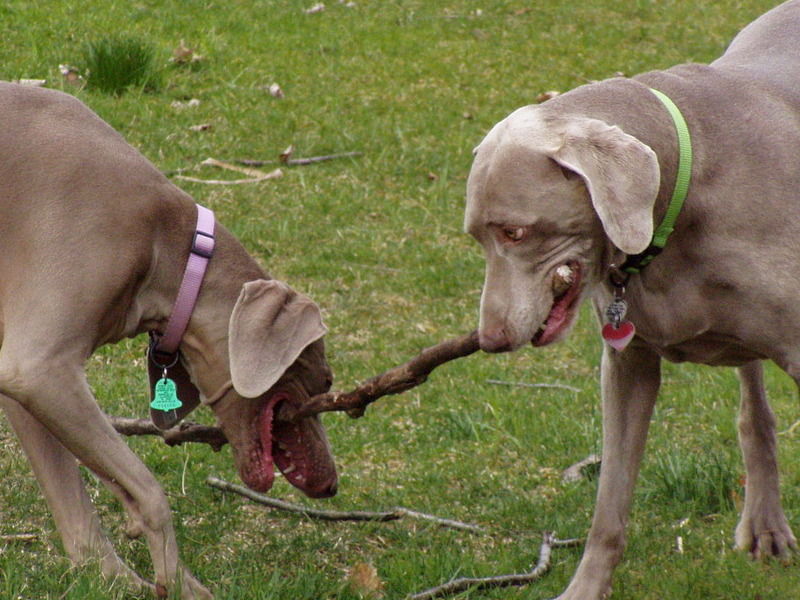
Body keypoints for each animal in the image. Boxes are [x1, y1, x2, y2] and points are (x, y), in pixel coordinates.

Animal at [0, 82, 338, 596]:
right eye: (324, 379)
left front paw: (111, 578)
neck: (174, 249)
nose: (332, 484)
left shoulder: (22, 376)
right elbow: (149, 490)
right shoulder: (38, 368)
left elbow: (74, 500)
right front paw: (179, 583)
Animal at [466, 1, 800, 600]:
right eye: (477, 237)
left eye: (515, 233)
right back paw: (764, 522)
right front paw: (583, 588)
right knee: (753, 406)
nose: (491, 339)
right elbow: (609, 506)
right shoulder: (628, 363)